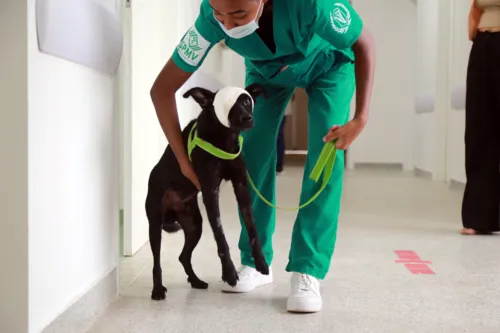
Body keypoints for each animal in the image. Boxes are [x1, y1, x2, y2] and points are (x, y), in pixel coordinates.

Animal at [145, 83, 270, 300]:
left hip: (195, 225)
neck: (226, 137)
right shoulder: (211, 191)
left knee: (183, 256)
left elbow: (252, 227)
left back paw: (195, 280)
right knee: (156, 262)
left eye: (247, 101)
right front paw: (229, 273)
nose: (248, 118)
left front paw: (261, 262)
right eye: (226, 103)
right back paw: (158, 289)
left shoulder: (241, 186)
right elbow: (221, 236)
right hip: (155, 224)